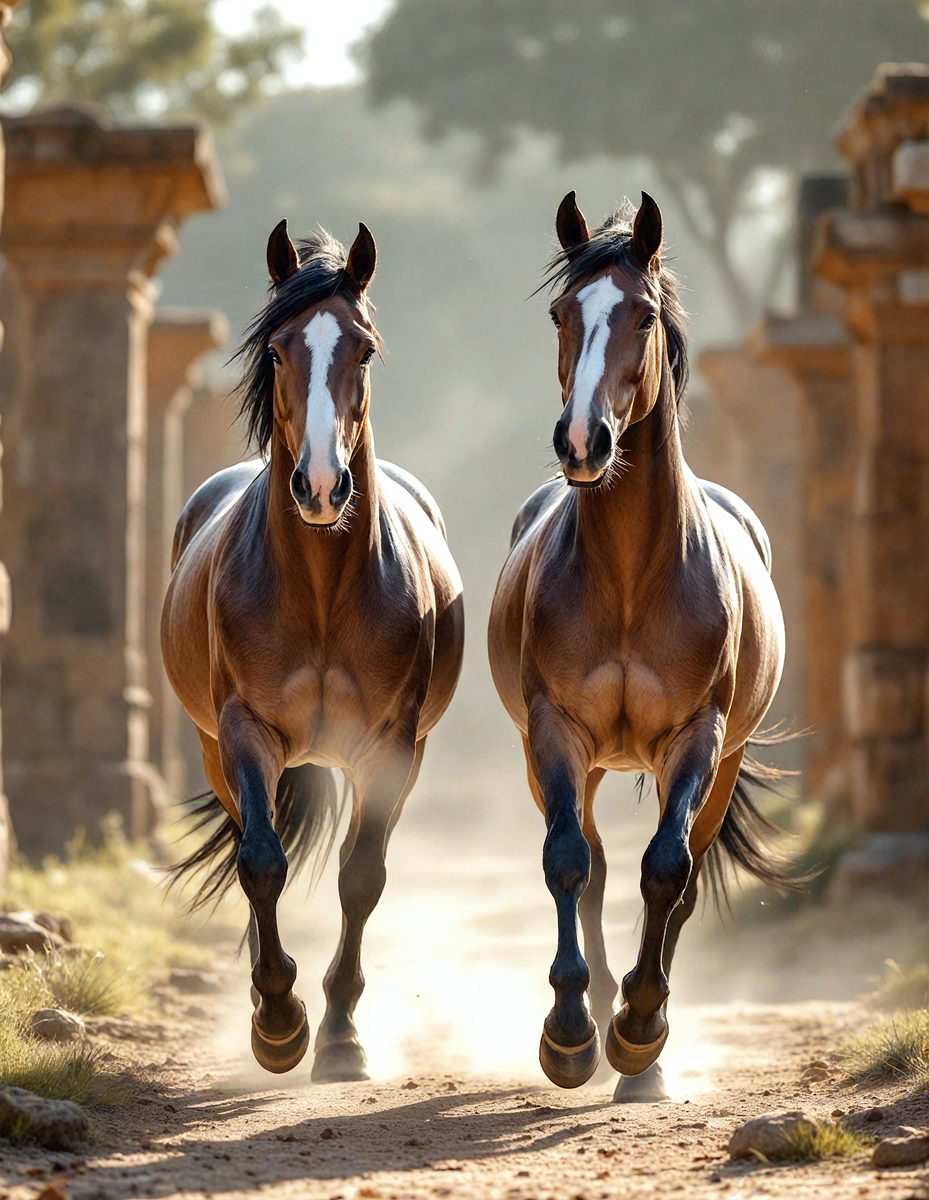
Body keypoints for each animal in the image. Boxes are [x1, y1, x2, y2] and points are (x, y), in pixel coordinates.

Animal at [161, 220, 465, 1077]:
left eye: (361, 349)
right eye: (274, 351)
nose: (322, 488)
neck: (323, 592)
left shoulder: (392, 745)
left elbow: (361, 878)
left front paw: (339, 1036)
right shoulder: (244, 732)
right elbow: (261, 862)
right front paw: (278, 1023)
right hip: (216, 750)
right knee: (248, 847)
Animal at [487, 191, 796, 1103]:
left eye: (644, 315)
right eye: (561, 312)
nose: (582, 442)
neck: (630, 576)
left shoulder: (695, 739)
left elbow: (664, 871)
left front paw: (637, 1033)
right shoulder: (555, 734)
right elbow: (566, 864)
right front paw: (568, 1036)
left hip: (718, 766)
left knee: (681, 878)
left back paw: (642, 1056)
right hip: (581, 762)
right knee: (588, 865)